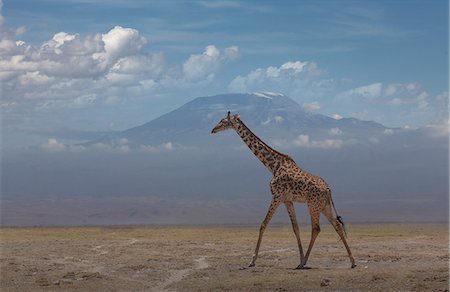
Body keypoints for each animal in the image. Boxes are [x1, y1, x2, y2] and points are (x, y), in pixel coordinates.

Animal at [211, 112, 356, 270]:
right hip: (324, 206)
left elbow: (263, 224)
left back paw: (306, 261)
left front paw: (252, 260)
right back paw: (352, 261)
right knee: (337, 225)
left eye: (223, 121)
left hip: (313, 205)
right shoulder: (287, 200)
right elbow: (295, 228)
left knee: (316, 228)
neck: (272, 166)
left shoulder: (276, 196)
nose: (213, 130)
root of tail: (329, 189)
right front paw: (299, 258)